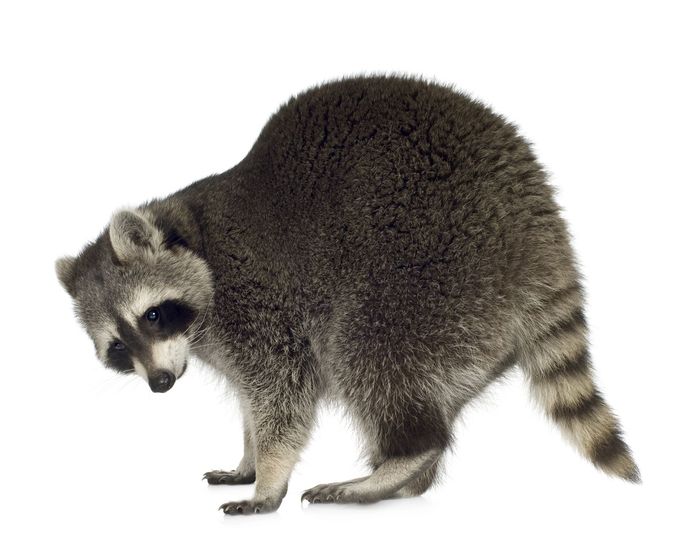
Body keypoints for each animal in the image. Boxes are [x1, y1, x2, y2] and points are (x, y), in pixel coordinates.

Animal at [56, 75, 639, 515]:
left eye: (153, 315)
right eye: (116, 347)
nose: (158, 384)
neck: (193, 234)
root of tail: (538, 222)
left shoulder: (258, 302)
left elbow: (282, 390)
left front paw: (269, 475)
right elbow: (251, 399)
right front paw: (248, 456)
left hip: (432, 267)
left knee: (367, 353)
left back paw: (404, 457)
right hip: (472, 319)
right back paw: (409, 475)